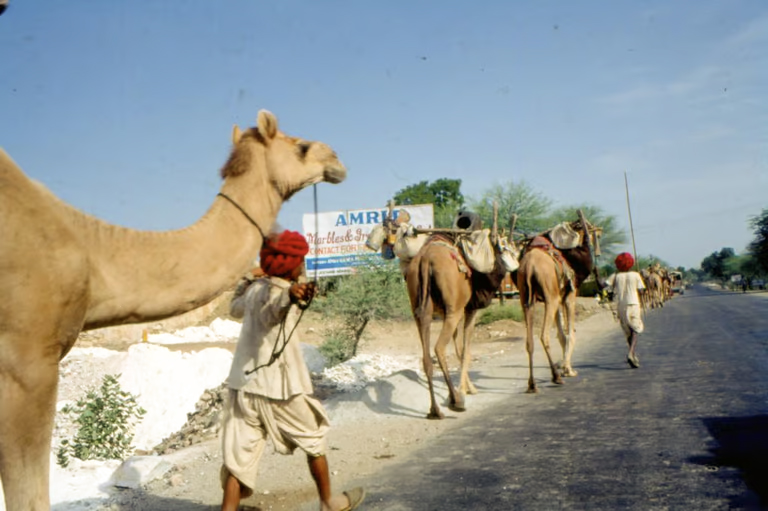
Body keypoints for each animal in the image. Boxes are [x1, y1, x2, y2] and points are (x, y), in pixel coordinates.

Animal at [404, 233, 508, 420]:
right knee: (439, 348)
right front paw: (466, 390)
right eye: (503, 244)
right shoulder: (470, 310)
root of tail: (426, 259)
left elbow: (459, 349)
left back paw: (435, 410)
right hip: (454, 309)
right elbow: (466, 351)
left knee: (426, 356)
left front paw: (467, 389)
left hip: (420, 308)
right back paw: (455, 401)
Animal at [516, 214, 600, 394]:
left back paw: (532, 384)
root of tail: (529, 266)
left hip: (526, 299)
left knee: (529, 341)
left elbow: (562, 335)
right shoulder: (569, 295)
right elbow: (570, 333)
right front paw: (568, 369)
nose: (597, 251)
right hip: (550, 298)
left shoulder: (559, 296)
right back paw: (556, 377)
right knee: (544, 335)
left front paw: (565, 366)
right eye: (592, 231)